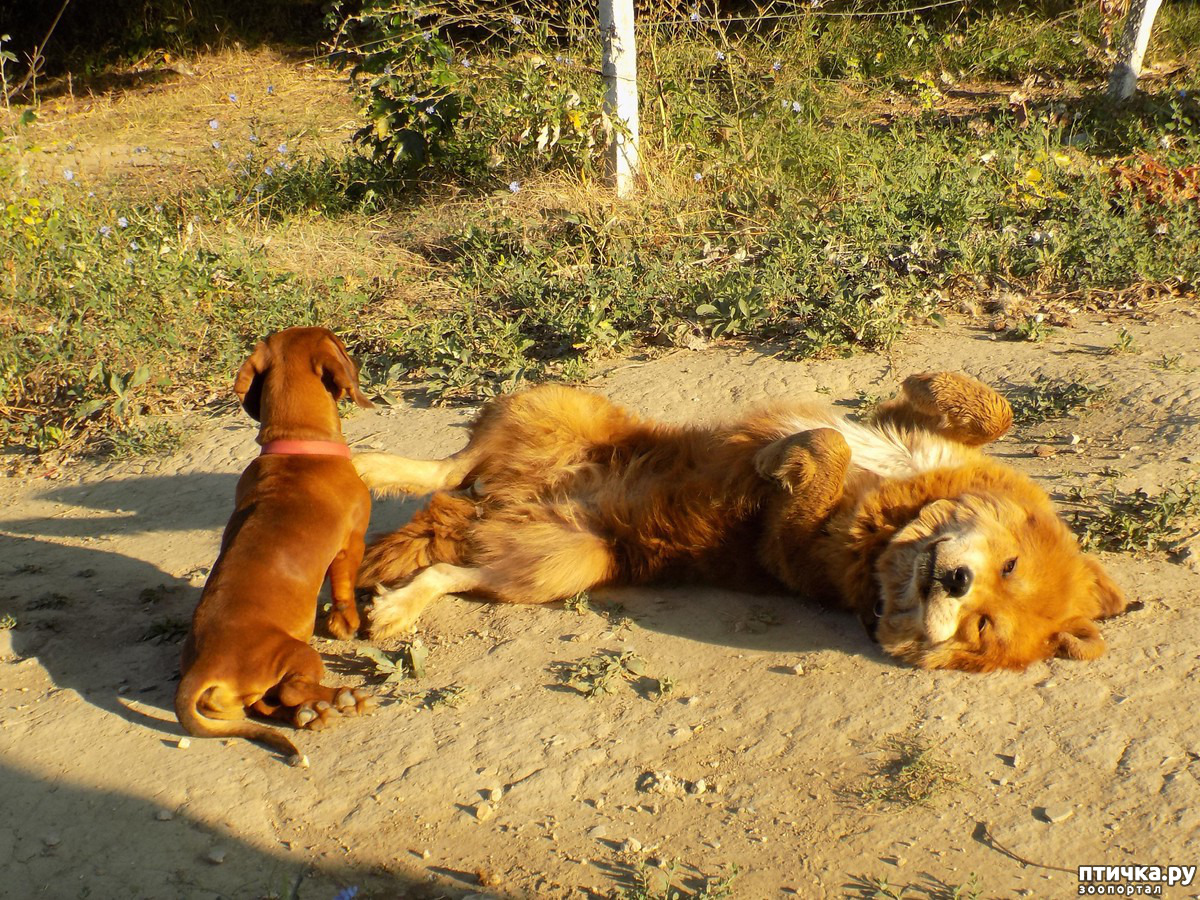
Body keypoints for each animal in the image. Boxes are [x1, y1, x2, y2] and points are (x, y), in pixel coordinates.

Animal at [175, 327, 376, 764]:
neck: (297, 443)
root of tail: (202, 668)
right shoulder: (351, 543)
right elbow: (344, 591)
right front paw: (347, 624)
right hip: (298, 653)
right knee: (290, 689)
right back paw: (342, 697)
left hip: (244, 697)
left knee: (267, 705)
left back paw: (312, 713)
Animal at [352, 372, 1127, 671]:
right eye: (1011, 565)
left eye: (983, 629)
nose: (958, 584)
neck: (891, 525)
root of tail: (505, 500)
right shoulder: (913, 437)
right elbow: (992, 410)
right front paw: (919, 384)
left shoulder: (784, 547)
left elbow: (823, 452)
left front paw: (789, 457)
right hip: (551, 405)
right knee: (450, 468)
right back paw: (364, 463)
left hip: (562, 563)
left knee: (452, 563)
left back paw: (394, 606)